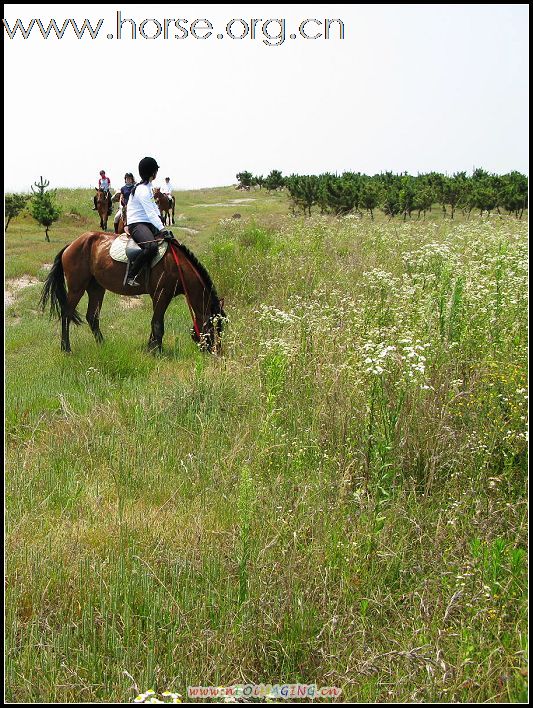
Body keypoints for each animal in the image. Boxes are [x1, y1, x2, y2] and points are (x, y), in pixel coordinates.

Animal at [39, 231, 225, 354]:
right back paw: (66, 348)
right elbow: (158, 324)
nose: (216, 352)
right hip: (77, 287)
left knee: (92, 317)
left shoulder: (159, 296)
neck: (177, 266)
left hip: (96, 288)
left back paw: (103, 345)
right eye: (216, 326)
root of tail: (71, 245)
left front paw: (151, 348)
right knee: (66, 313)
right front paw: (157, 352)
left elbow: (154, 323)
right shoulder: (161, 294)